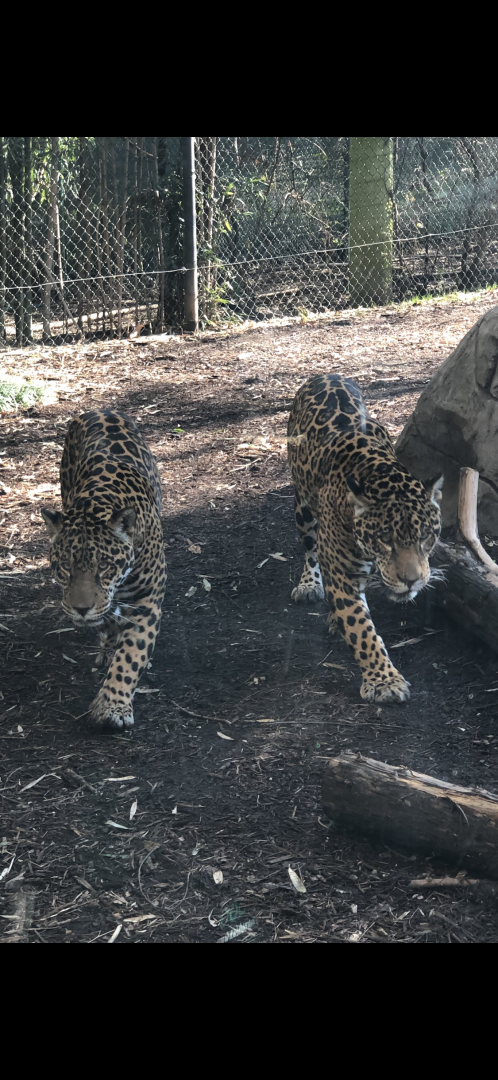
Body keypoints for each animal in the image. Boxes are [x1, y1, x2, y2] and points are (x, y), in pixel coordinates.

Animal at [42, 410, 166, 730]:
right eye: (65, 567)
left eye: (105, 566)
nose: (81, 609)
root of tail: (99, 409)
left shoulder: (147, 601)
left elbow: (131, 655)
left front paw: (113, 705)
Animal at [288, 374, 443, 703]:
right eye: (384, 538)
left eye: (426, 536)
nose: (412, 581)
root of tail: (326, 374)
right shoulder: (343, 574)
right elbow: (362, 630)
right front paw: (385, 681)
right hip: (302, 507)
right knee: (310, 549)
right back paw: (309, 585)